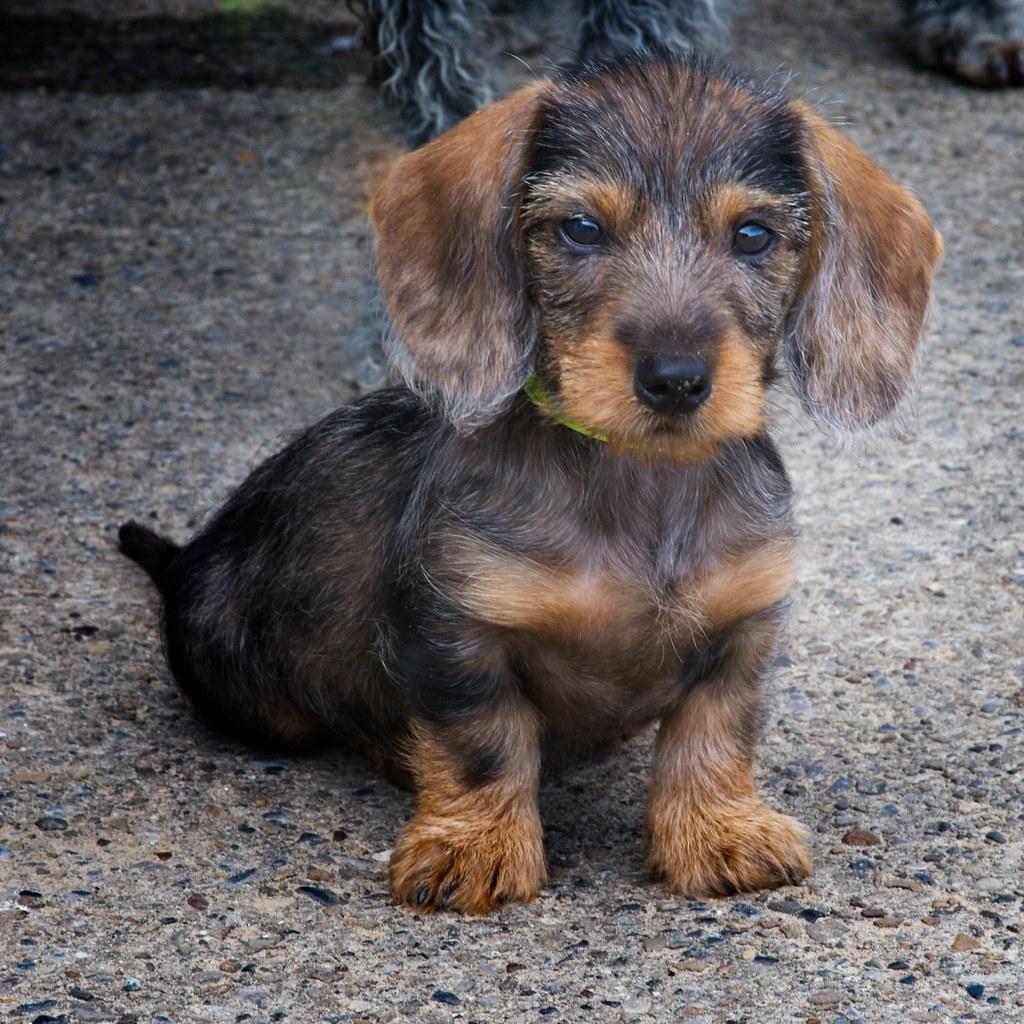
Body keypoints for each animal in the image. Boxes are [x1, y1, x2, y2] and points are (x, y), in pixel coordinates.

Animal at [119, 56, 942, 917]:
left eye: (753, 235)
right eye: (580, 228)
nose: (676, 380)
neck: (637, 485)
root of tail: (182, 563)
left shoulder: (744, 627)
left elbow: (714, 734)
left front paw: (719, 829)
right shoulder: (455, 627)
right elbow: (482, 740)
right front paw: (475, 845)